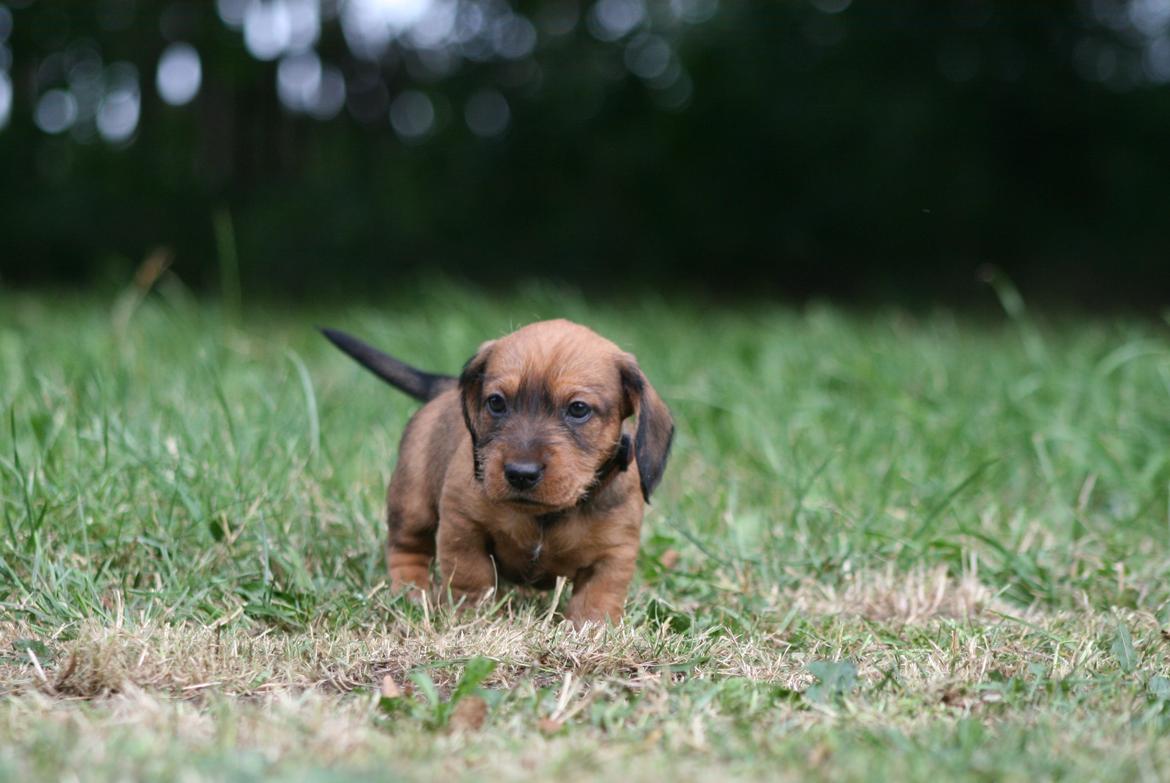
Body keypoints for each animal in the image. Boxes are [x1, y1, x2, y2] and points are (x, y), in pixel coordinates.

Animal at [322, 320, 678, 627]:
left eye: (578, 409)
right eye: (496, 402)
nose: (521, 474)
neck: (546, 516)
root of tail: (445, 387)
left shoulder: (614, 553)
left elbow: (598, 595)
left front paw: (590, 628)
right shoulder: (462, 525)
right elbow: (471, 574)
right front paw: (471, 614)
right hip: (413, 502)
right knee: (406, 548)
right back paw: (412, 591)